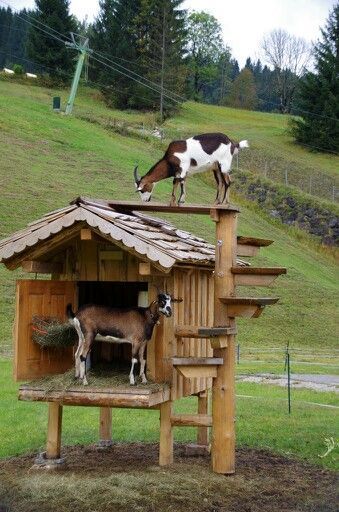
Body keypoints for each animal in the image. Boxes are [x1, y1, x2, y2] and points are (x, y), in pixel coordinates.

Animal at [0, 196, 286, 472]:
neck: (145, 318)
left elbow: (146, 359)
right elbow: (135, 358)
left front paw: (146, 379)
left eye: (171, 299)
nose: (169, 312)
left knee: (77, 354)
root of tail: (77, 313)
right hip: (90, 334)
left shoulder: (146, 342)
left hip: (81, 335)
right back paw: (85, 382)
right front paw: (132, 381)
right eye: (161, 300)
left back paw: (78, 377)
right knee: (82, 355)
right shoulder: (136, 340)